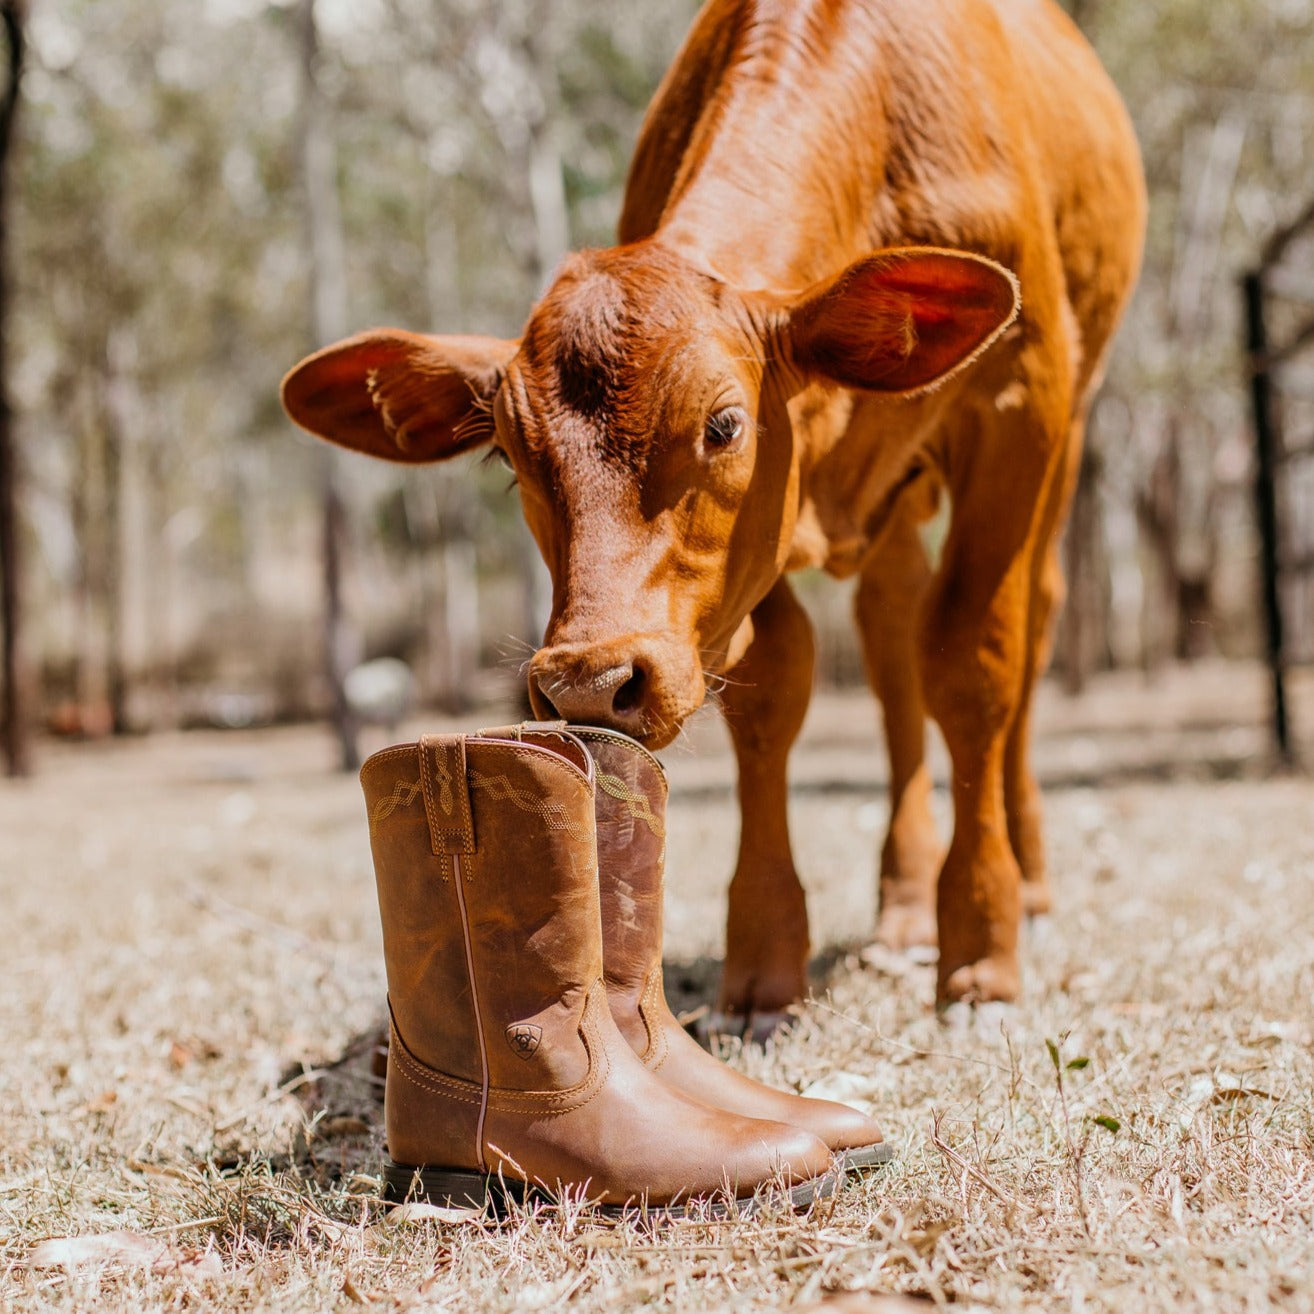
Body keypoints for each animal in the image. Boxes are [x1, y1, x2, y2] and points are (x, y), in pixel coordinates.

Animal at [282, 0, 1145, 1014]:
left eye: (725, 424)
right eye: (509, 455)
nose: (588, 682)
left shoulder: (1021, 405)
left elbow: (973, 662)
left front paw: (981, 945)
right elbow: (777, 683)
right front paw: (766, 957)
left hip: (1068, 441)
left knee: (1026, 628)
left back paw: (1028, 881)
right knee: (891, 643)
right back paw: (900, 903)